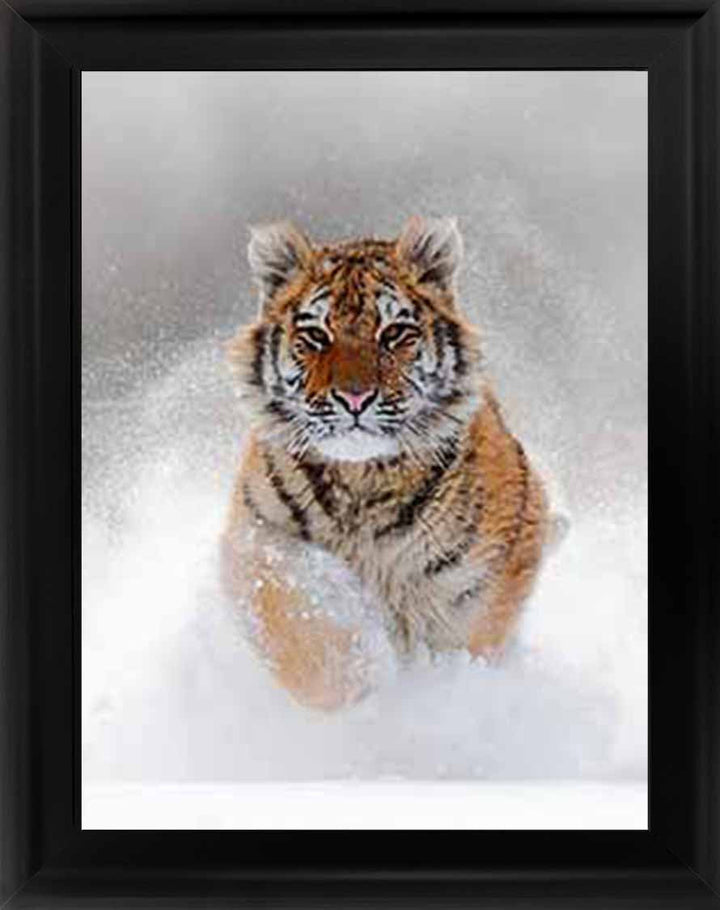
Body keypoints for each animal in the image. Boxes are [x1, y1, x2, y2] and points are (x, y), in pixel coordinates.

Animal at [222, 216, 553, 710]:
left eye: (394, 333)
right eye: (316, 336)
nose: (354, 397)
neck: (361, 480)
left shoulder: (487, 576)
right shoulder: (255, 539)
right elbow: (299, 619)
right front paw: (359, 683)